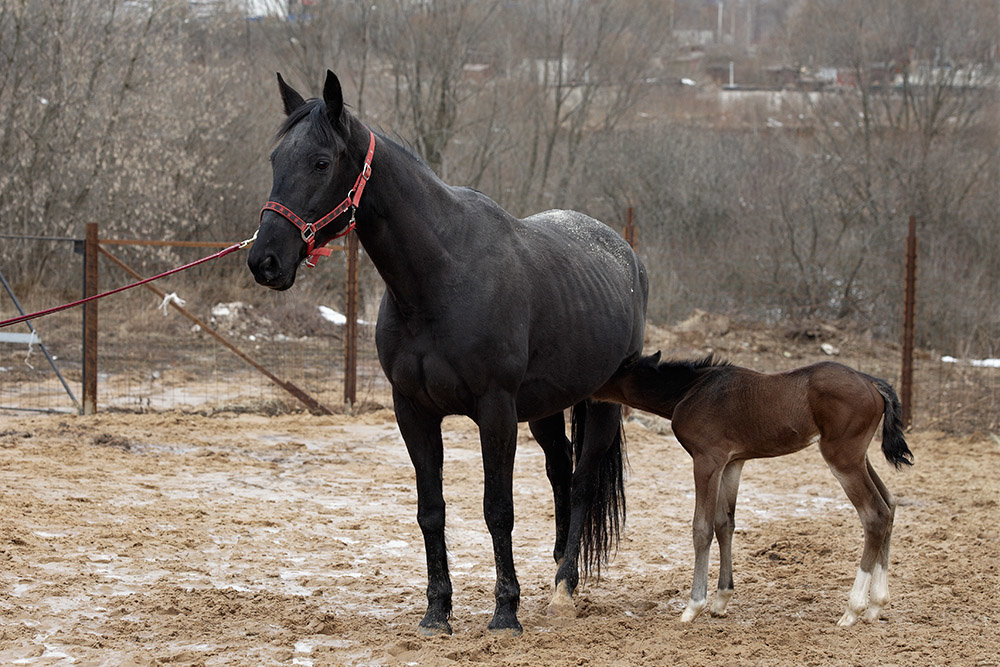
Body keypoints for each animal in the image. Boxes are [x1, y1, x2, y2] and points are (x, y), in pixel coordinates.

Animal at [246, 69, 644, 636]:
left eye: (321, 162)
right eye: (276, 159)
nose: (265, 260)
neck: (441, 278)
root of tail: (625, 253)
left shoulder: (495, 411)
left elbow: (498, 509)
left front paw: (505, 613)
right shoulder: (413, 410)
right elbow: (430, 509)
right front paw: (437, 611)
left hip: (602, 403)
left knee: (585, 481)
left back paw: (565, 589)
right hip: (544, 410)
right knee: (560, 471)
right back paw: (554, 574)